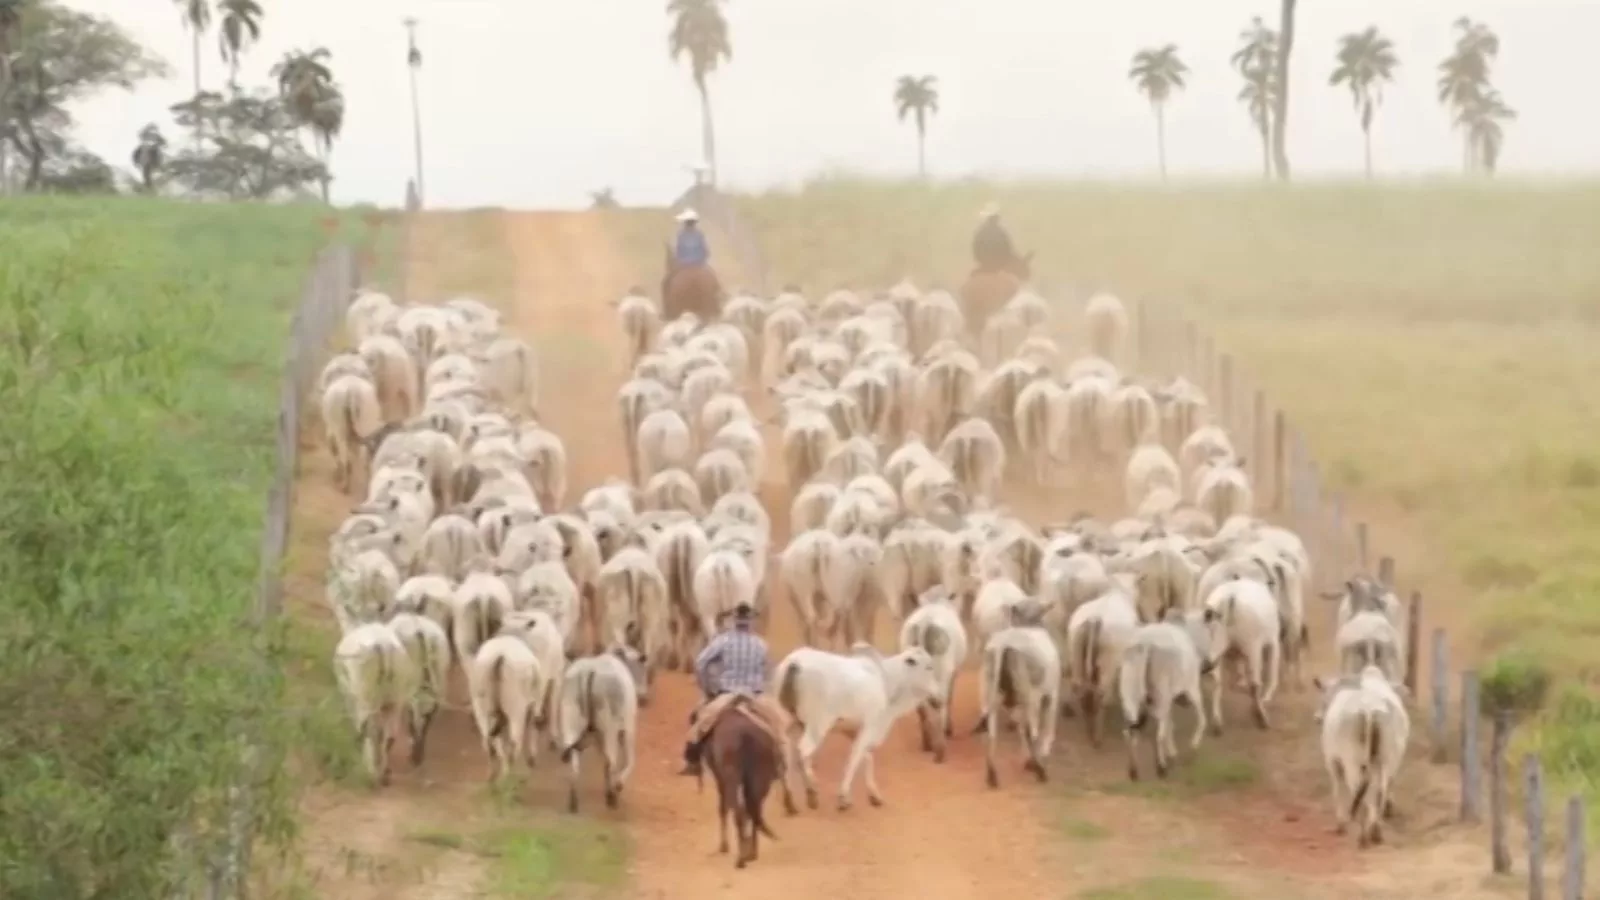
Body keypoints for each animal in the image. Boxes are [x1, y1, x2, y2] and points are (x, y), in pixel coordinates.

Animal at [704, 698, 784, 864]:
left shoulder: (721, 779)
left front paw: (724, 847)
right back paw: (751, 853)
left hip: (733, 780)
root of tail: (746, 736)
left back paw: (741, 858)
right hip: (760, 782)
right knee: (754, 810)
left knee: (740, 812)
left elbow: (723, 808)